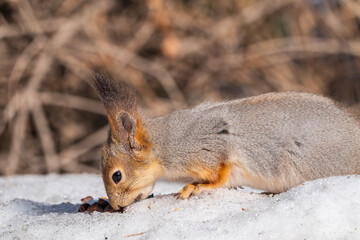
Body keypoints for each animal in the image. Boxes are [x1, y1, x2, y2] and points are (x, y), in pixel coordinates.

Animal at [91, 68, 360, 209]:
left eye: (116, 176)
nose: (115, 207)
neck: (168, 145)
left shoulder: (212, 147)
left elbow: (220, 176)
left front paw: (194, 187)